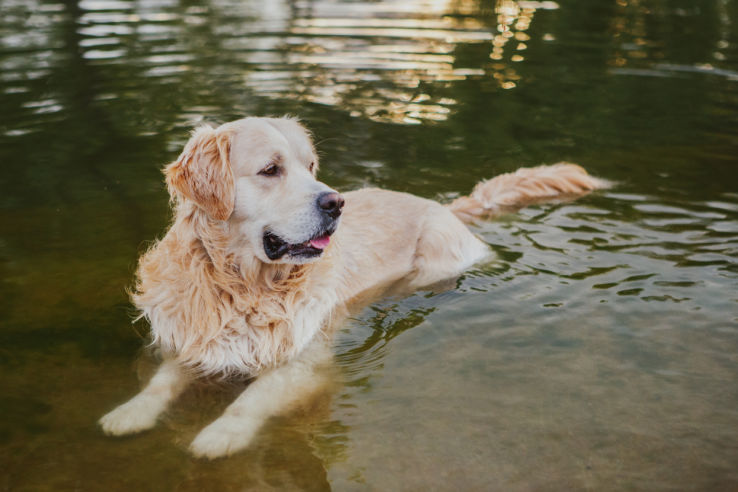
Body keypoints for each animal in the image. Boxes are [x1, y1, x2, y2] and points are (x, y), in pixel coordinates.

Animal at [96, 115, 604, 458]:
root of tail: (445, 206)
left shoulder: (304, 361)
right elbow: (162, 382)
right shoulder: (193, 341)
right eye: (270, 170)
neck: (243, 285)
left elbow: (253, 398)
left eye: (311, 165)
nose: (335, 202)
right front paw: (128, 413)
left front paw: (221, 435)